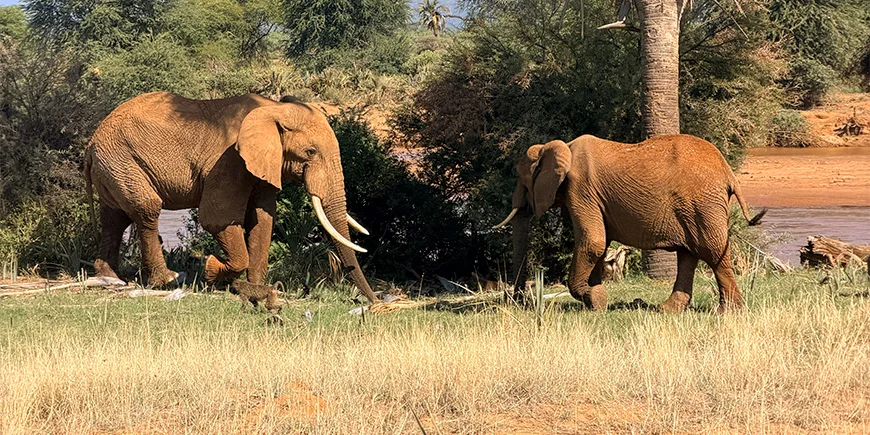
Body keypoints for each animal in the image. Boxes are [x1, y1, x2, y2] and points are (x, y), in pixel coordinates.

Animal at [83, 92, 378, 303]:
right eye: (310, 152)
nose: (375, 303)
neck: (272, 109)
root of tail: (91, 142)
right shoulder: (229, 161)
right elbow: (217, 217)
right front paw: (211, 270)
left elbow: (262, 218)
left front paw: (254, 287)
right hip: (121, 159)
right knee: (146, 209)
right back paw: (168, 280)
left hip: (114, 165)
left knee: (115, 218)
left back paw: (109, 277)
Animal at [493, 134, 766, 313]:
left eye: (523, 180)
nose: (520, 302)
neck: (562, 147)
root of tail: (728, 172)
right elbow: (600, 245)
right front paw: (596, 301)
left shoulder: (580, 189)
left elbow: (593, 241)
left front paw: (595, 299)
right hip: (694, 207)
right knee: (688, 253)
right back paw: (666, 310)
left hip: (703, 204)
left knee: (712, 251)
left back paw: (728, 313)